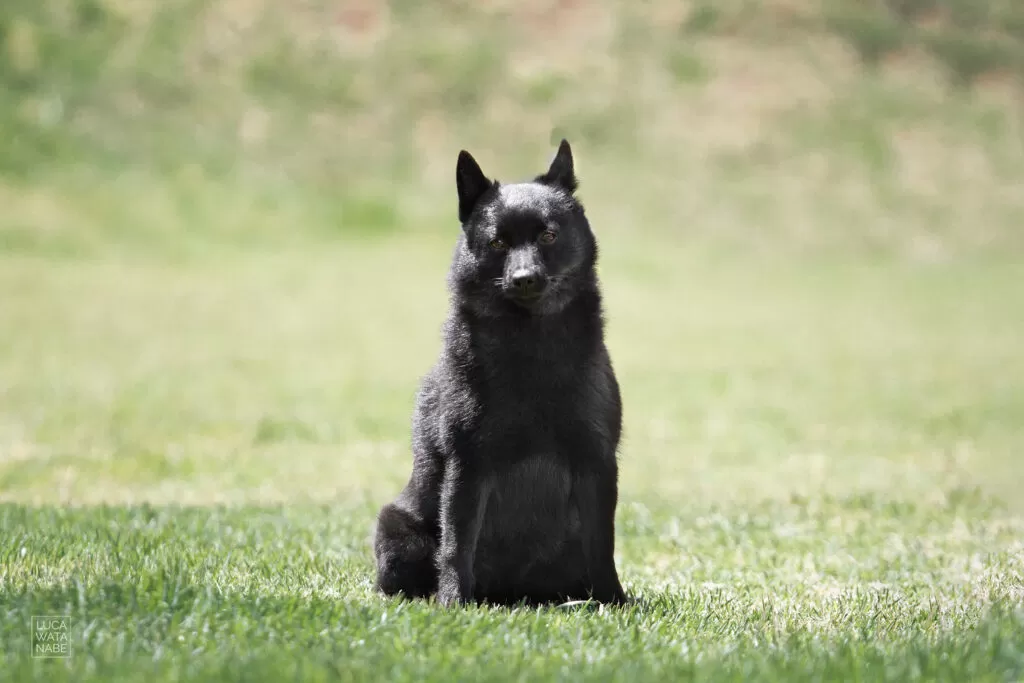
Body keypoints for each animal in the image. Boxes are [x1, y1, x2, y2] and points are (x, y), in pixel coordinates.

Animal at [372, 140, 626, 610]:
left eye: (548, 235)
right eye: (497, 241)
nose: (524, 279)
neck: (531, 350)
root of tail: (512, 594)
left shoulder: (596, 460)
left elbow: (603, 543)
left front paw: (615, 601)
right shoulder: (468, 463)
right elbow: (457, 545)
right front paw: (453, 602)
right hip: (395, 528)